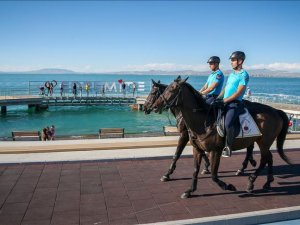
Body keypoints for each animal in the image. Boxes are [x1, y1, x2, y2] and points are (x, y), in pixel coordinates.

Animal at [151, 78, 292, 199]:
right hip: (260, 141)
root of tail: (276, 111)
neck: (204, 120)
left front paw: (228, 186)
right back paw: (267, 181)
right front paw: (190, 190)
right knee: (268, 157)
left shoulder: (215, 150)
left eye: (172, 89)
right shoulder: (196, 149)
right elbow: (195, 170)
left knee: (264, 159)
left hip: (264, 142)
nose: (153, 107)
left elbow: (213, 174)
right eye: (165, 89)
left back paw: (251, 181)